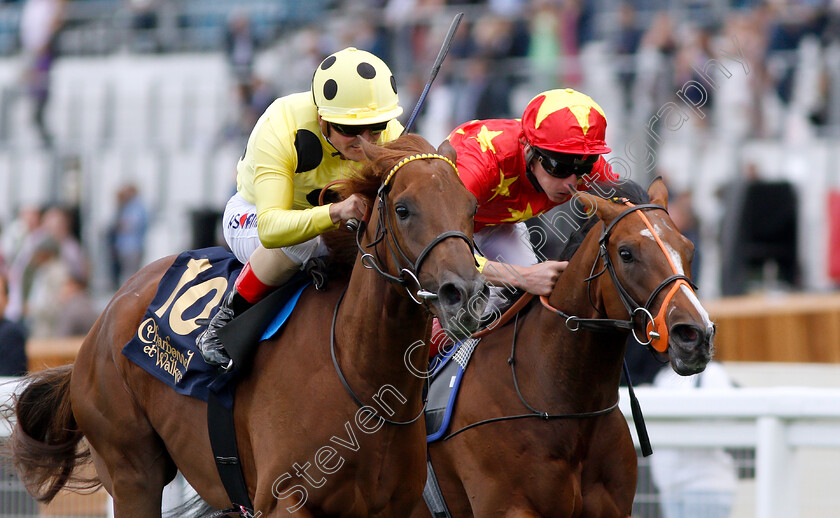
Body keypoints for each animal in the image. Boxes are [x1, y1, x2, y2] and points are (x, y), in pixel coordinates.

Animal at [8, 135, 486, 518]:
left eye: (471, 207)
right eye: (403, 209)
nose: (465, 294)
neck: (358, 372)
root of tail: (108, 312)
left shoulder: (399, 505)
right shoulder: (285, 501)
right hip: (130, 471)